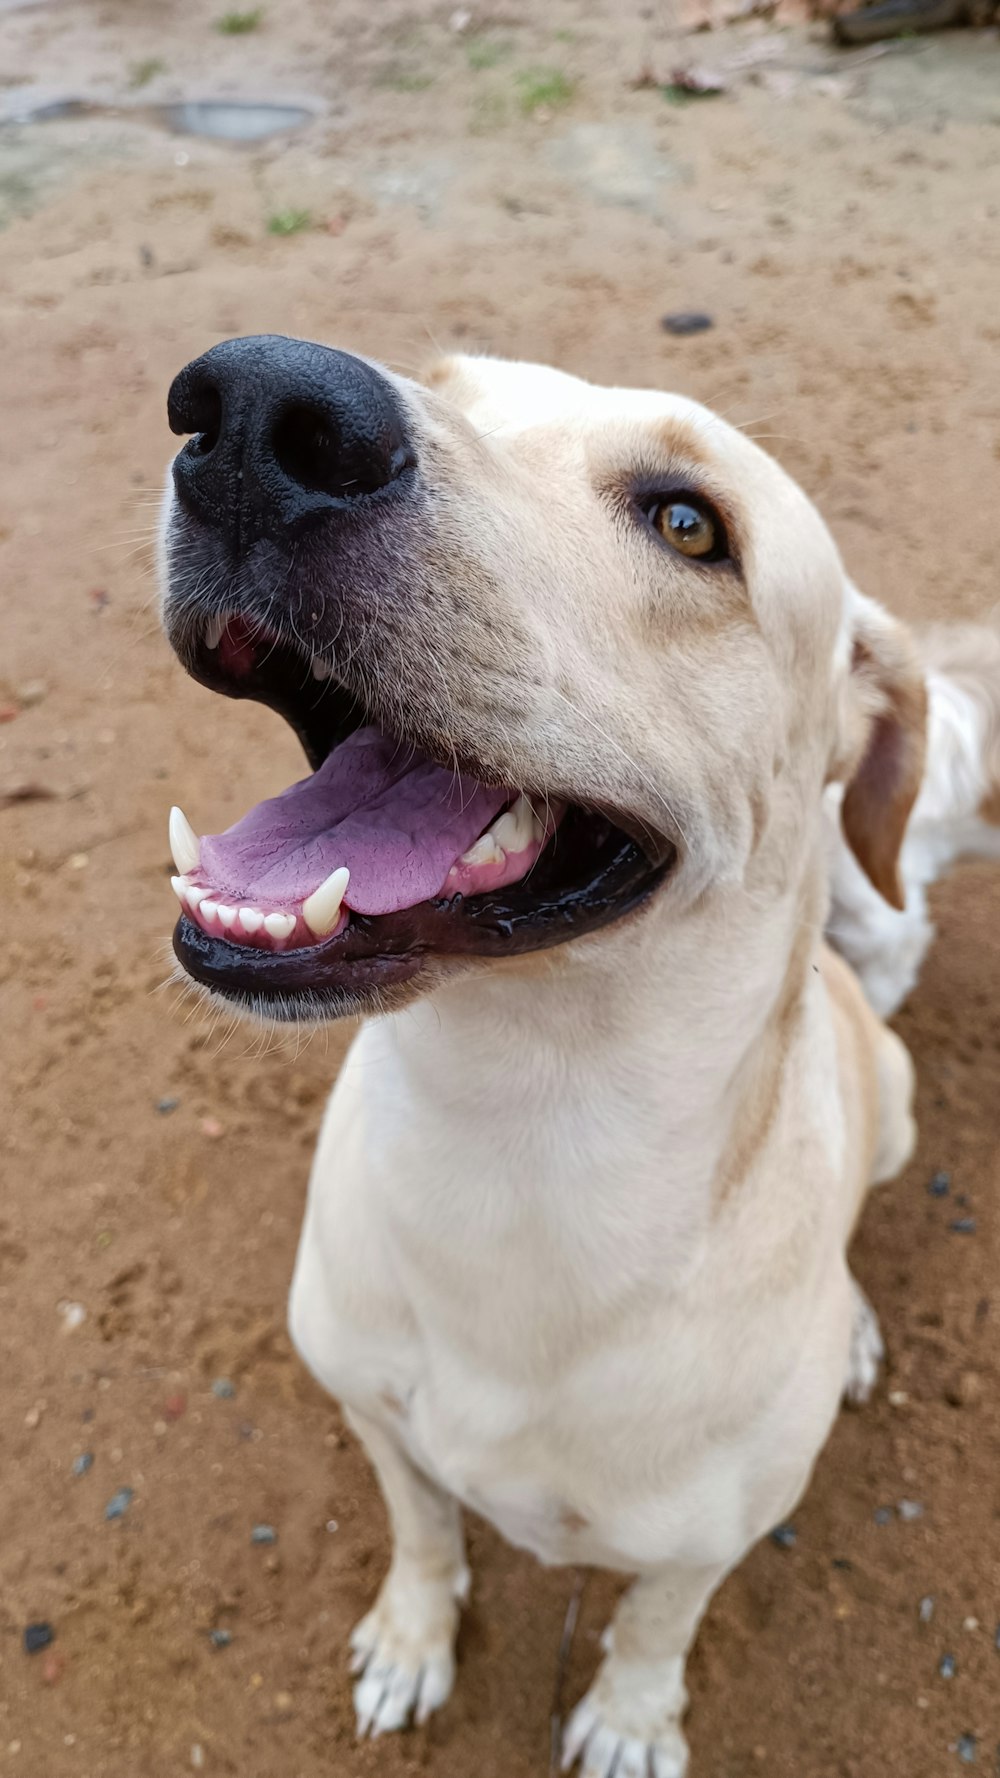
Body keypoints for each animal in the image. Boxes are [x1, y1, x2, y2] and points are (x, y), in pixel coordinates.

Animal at [159, 343, 989, 1778]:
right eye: (445, 379)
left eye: (690, 523)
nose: (256, 401)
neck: (515, 1146)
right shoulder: (375, 1413)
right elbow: (423, 1530)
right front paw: (413, 1636)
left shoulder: (709, 1534)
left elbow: (658, 1616)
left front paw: (631, 1718)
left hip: (893, 1106)